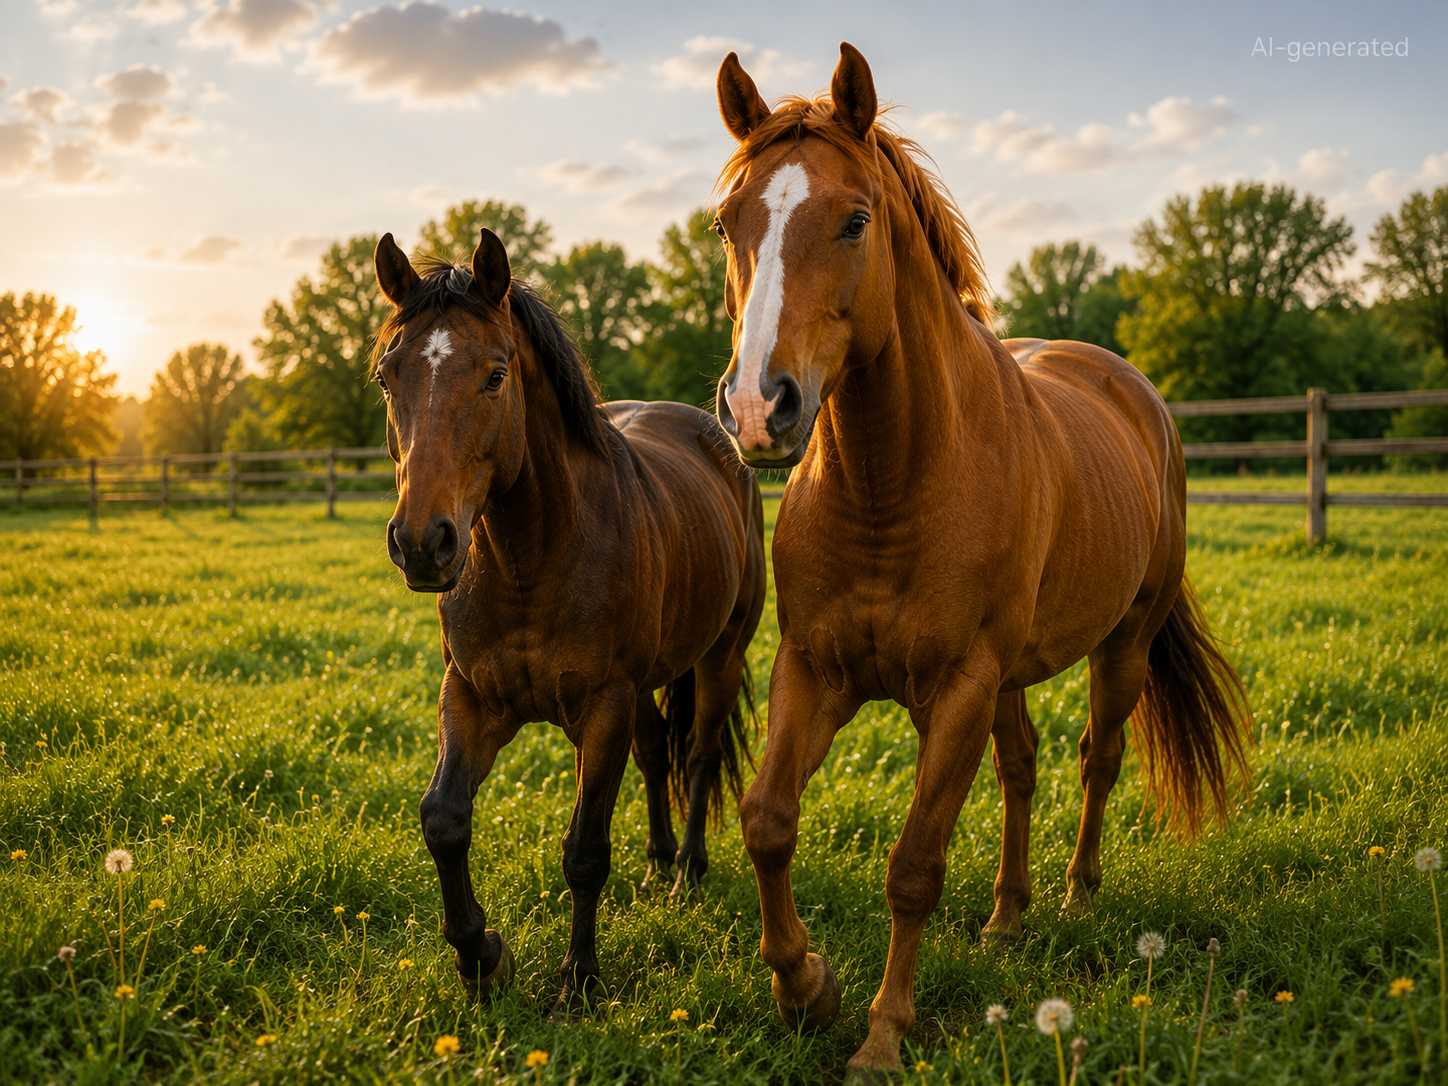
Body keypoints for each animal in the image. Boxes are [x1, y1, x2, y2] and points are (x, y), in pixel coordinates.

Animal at [370, 227, 766, 1007]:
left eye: (495, 375)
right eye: (386, 378)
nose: (423, 543)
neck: (534, 557)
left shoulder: (602, 707)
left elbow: (584, 849)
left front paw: (577, 980)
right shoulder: (471, 697)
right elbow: (444, 820)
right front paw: (480, 956)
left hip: (721, 654)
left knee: (699, 754)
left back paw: (687, 872)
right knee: (656, 752)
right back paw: (658, 861)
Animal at [708, 43, 1251, 1073]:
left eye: (854, 219)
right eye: (728, 222)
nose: (761, 408)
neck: (892, 486)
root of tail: (1132, 390)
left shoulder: (958, 687)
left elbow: (915, 865)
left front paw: (882, 1036)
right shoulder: (815, 671)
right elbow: (767, 822)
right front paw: (805, 988)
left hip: (1122, 645)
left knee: (1096, 758)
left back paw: (1075, 896)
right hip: (1010, 678)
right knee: (1024, 768)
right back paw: (1005, 919)